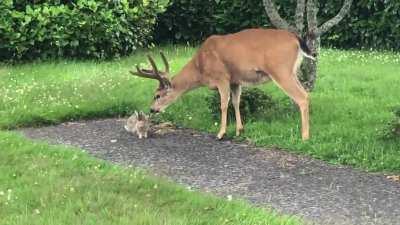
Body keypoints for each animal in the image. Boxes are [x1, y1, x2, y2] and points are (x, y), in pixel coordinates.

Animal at [130, 28, 314, 141]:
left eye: (157, 95)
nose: (152, 109)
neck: (200, 68)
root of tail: (297, 39)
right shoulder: (235, 81)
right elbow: (236, 102)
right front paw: (240, 130)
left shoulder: (222, 77)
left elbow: (224, 104)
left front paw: (221, 133)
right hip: (292, 72)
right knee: (306, 93)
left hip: (280, 70)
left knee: (302, 97)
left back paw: (305, 136)